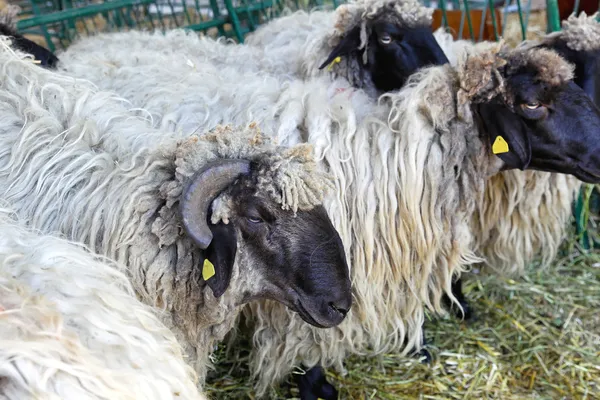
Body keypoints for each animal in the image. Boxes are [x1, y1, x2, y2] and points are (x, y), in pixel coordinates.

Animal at [52, 30, 600, 396]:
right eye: (531, 104)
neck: (400, 155)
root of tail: (96, 39)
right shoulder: (312, 281)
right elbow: (311, 345)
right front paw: (318, 387)